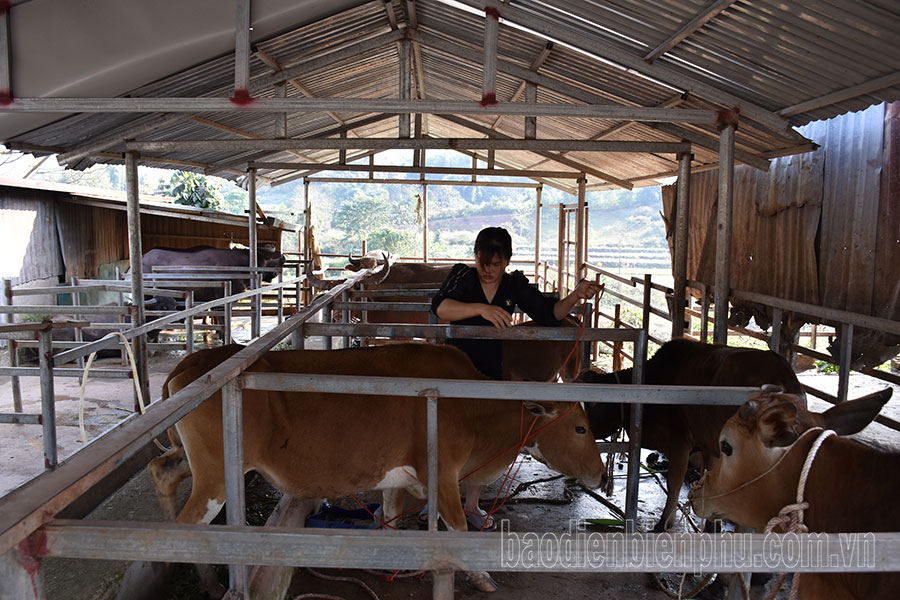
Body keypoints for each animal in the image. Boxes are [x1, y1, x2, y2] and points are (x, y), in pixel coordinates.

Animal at [151, 342, 608, 592]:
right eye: (581, 427)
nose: (602, 476)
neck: (470, 404)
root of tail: (194, 362)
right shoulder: (442, 474)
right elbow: (459, 529)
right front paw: (481, 577)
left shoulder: (396, 479)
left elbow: (389, 516)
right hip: (215, 477)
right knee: (187, 528)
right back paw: (208, 581)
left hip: (193, 461)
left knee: (163, 470)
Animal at [580, 340, 804, 532]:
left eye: (588, 407)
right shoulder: (709, 446)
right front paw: (711, 525)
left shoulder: (679, 443)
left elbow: (674, 483)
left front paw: (664, 523)